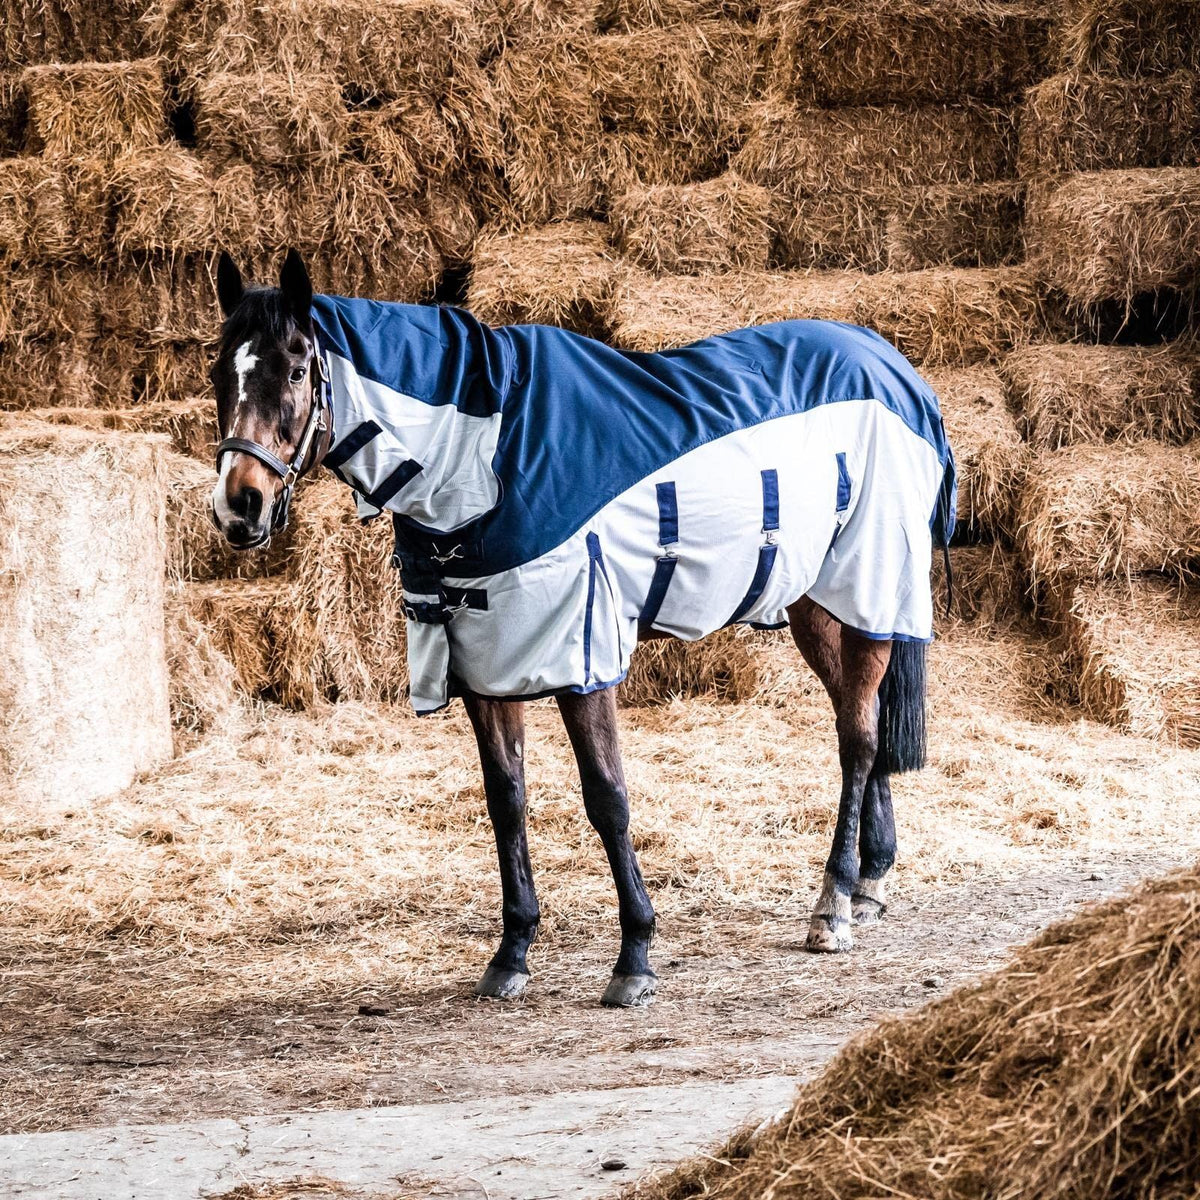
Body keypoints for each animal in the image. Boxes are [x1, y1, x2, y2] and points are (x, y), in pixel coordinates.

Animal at [208, 248, 957, 1009]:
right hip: (820, 603)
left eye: (296, 369)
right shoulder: (485, 665)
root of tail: (893, 367)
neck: (488, 454)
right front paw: (512, 953)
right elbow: (506, 802)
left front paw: (635, 957)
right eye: (218, 373)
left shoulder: (582, 655)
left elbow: (607, 800)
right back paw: (869, 882)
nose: (239, 506)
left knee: (858, 741)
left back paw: (832, 906)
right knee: (863, 725)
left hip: (864, 587)